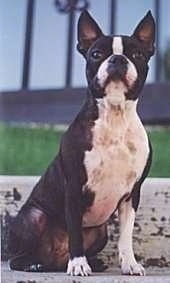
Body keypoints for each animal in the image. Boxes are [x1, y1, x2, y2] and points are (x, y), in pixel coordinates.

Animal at [9, 10, 155, 276]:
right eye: (96, 54)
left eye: (138, 55)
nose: (118, 59)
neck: (115, 117)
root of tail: (54, 259)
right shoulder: (75, 188)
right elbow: (75, 233)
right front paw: (78, 264)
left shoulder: (132, 195)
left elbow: (126, 236)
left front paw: (130, 264)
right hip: (33, 217)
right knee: (17, 258)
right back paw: (36, 263)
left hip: (101, 233)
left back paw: (92, 263)